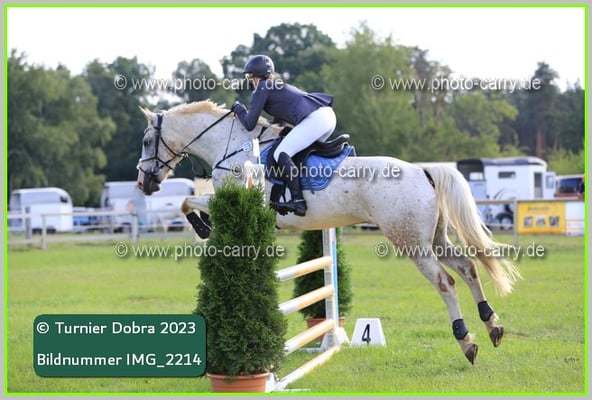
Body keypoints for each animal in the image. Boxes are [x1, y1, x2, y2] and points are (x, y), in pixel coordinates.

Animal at [135, 100, 521, 364]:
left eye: (146, 141)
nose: (144, 183)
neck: (230, 146)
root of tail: (423, 170)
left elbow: (187, 202)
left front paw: (204, 227)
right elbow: (189, 201)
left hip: (411, 241)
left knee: (446, 282)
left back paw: (467, 341)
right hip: (435, 238)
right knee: (468, 268)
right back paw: (492, 325)